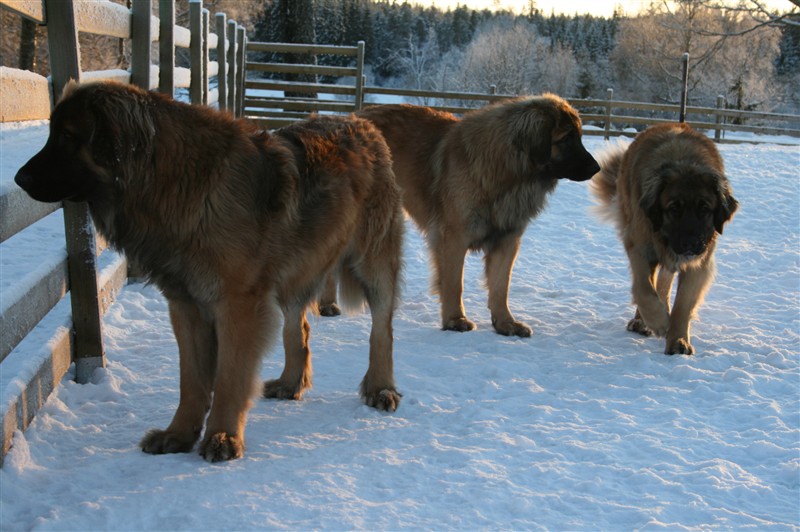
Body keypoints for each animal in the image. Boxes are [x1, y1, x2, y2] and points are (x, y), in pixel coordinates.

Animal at [17, 80, 406, 462]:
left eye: (67, 137)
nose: (19, 179)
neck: (179, 181)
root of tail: (361, 123)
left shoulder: (237, 305)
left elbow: (229, 378)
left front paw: (223, 436)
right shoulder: (185, 305)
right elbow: (192, 380)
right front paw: (178, 434)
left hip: (372, 262)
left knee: (382, 330)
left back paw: (380, 388)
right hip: (297, 270)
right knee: (299, 329)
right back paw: (290, 383)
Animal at [318, 94, 600, 336]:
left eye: (580, 136)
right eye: (566, 139)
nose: (597, 168)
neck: (507, 171)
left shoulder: (507, 239)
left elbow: (501, 285)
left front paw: (505, 323)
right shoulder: (453, 237)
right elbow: (455, 282)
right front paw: (455, 319)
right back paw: (327, 304)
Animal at [592, 120, 736, 354]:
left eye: (704, 208)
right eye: (673, 208)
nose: (690, 243)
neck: (683, 162)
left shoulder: (699, 263)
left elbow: (683, 305)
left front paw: (678, 340)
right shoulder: (640, 246)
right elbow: (643, 290)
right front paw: (658, 321)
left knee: (665, 279)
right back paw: (642, 321)